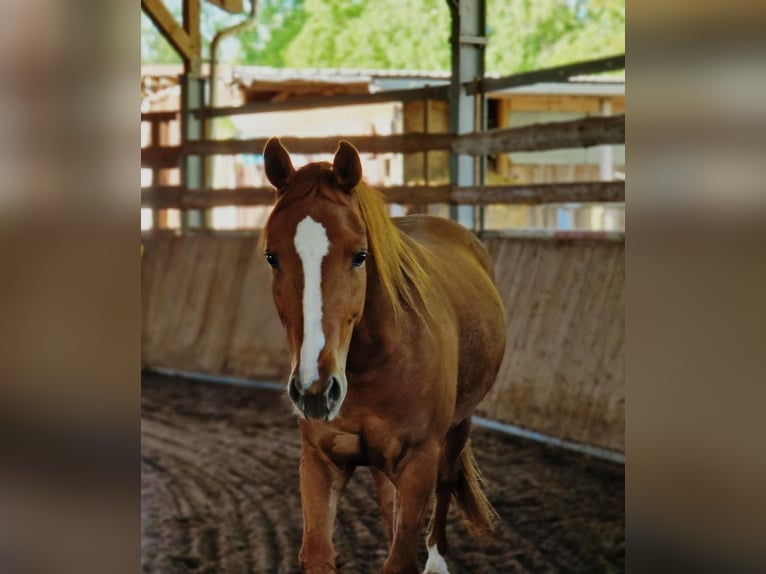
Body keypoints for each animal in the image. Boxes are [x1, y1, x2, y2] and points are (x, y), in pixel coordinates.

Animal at [261, 138, 506, 574]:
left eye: (360, 255)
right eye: (273, 256)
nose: (314, 390)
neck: (376, 360)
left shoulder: (418, 465)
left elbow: (402, 553)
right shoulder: (319, 462)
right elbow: (320, 551)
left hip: (459, 426)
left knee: (445, 484)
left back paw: (437, 560)